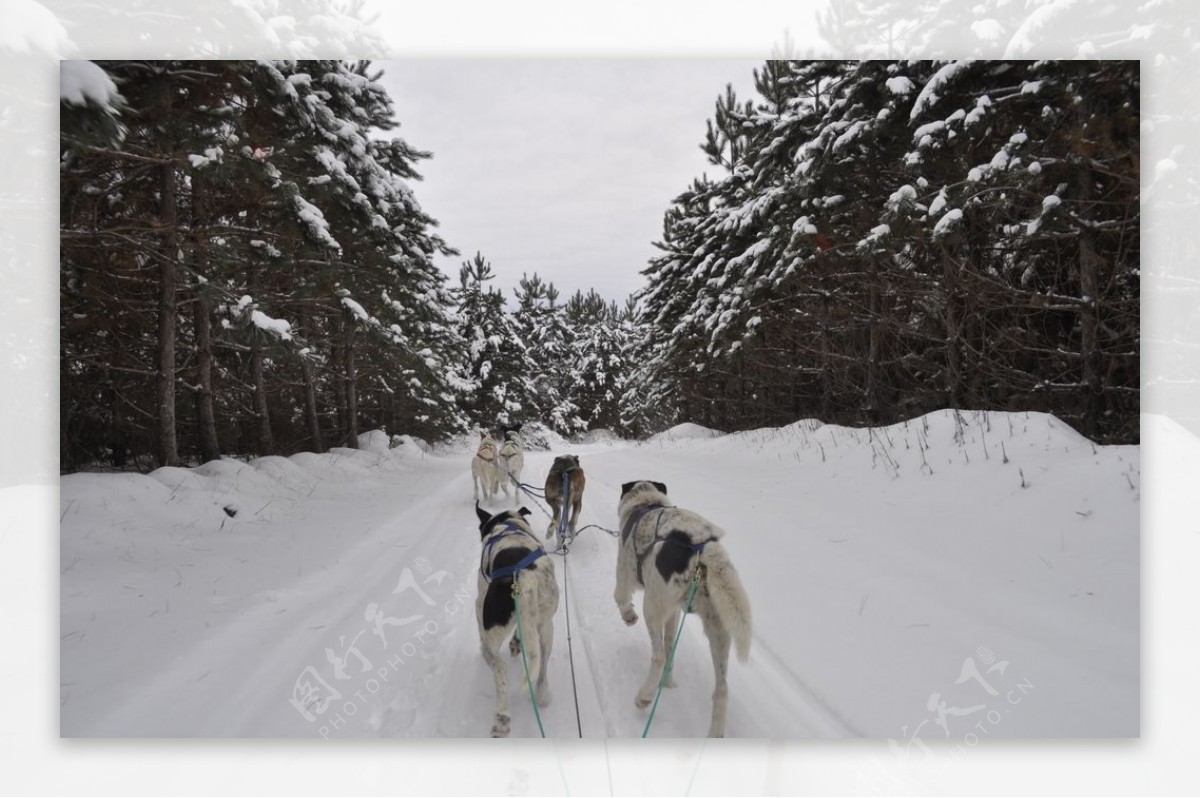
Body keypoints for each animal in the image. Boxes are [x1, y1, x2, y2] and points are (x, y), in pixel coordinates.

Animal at [472, 504, 556, 734]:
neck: (508, 523)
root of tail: (525, 578)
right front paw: (516, 642)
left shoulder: (479, 600)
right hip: (547, 628)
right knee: (542, 666)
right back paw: (542, 694)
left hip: (491, 635)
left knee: (499, 667)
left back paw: (502, 716)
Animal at [619, 480, 748, 734]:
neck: (645, 500)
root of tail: (702, 548)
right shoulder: (674, 611)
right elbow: (671, 644)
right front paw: (668, 683)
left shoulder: (624, 572)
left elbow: (620, 598)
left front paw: (628, 616)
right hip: (718, 630)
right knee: (722, 689)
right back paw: (715, 734)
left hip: (652, 606)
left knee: (658, 657)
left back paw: (645, 696)